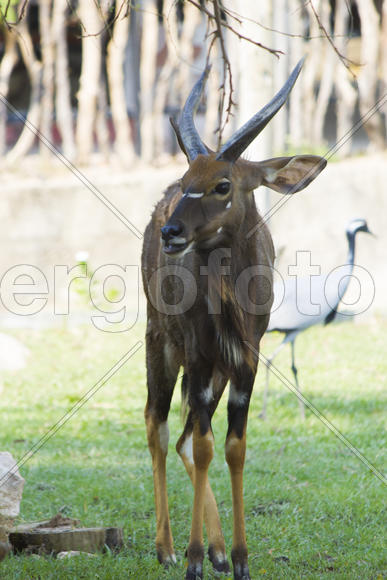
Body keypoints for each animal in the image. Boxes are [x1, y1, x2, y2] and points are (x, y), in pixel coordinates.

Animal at [142, 61, 328, 576]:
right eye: (188, 175)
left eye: (222, 184)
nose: (171, 232)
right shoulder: (199, 353)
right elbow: (207, 446)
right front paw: (193, 560)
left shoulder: (246, 359)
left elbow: (233, 447)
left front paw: (239, 558)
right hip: (161, 345)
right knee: (159, 427)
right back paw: (168, 548)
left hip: (212, 370)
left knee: (185, 436)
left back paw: (219, 550)